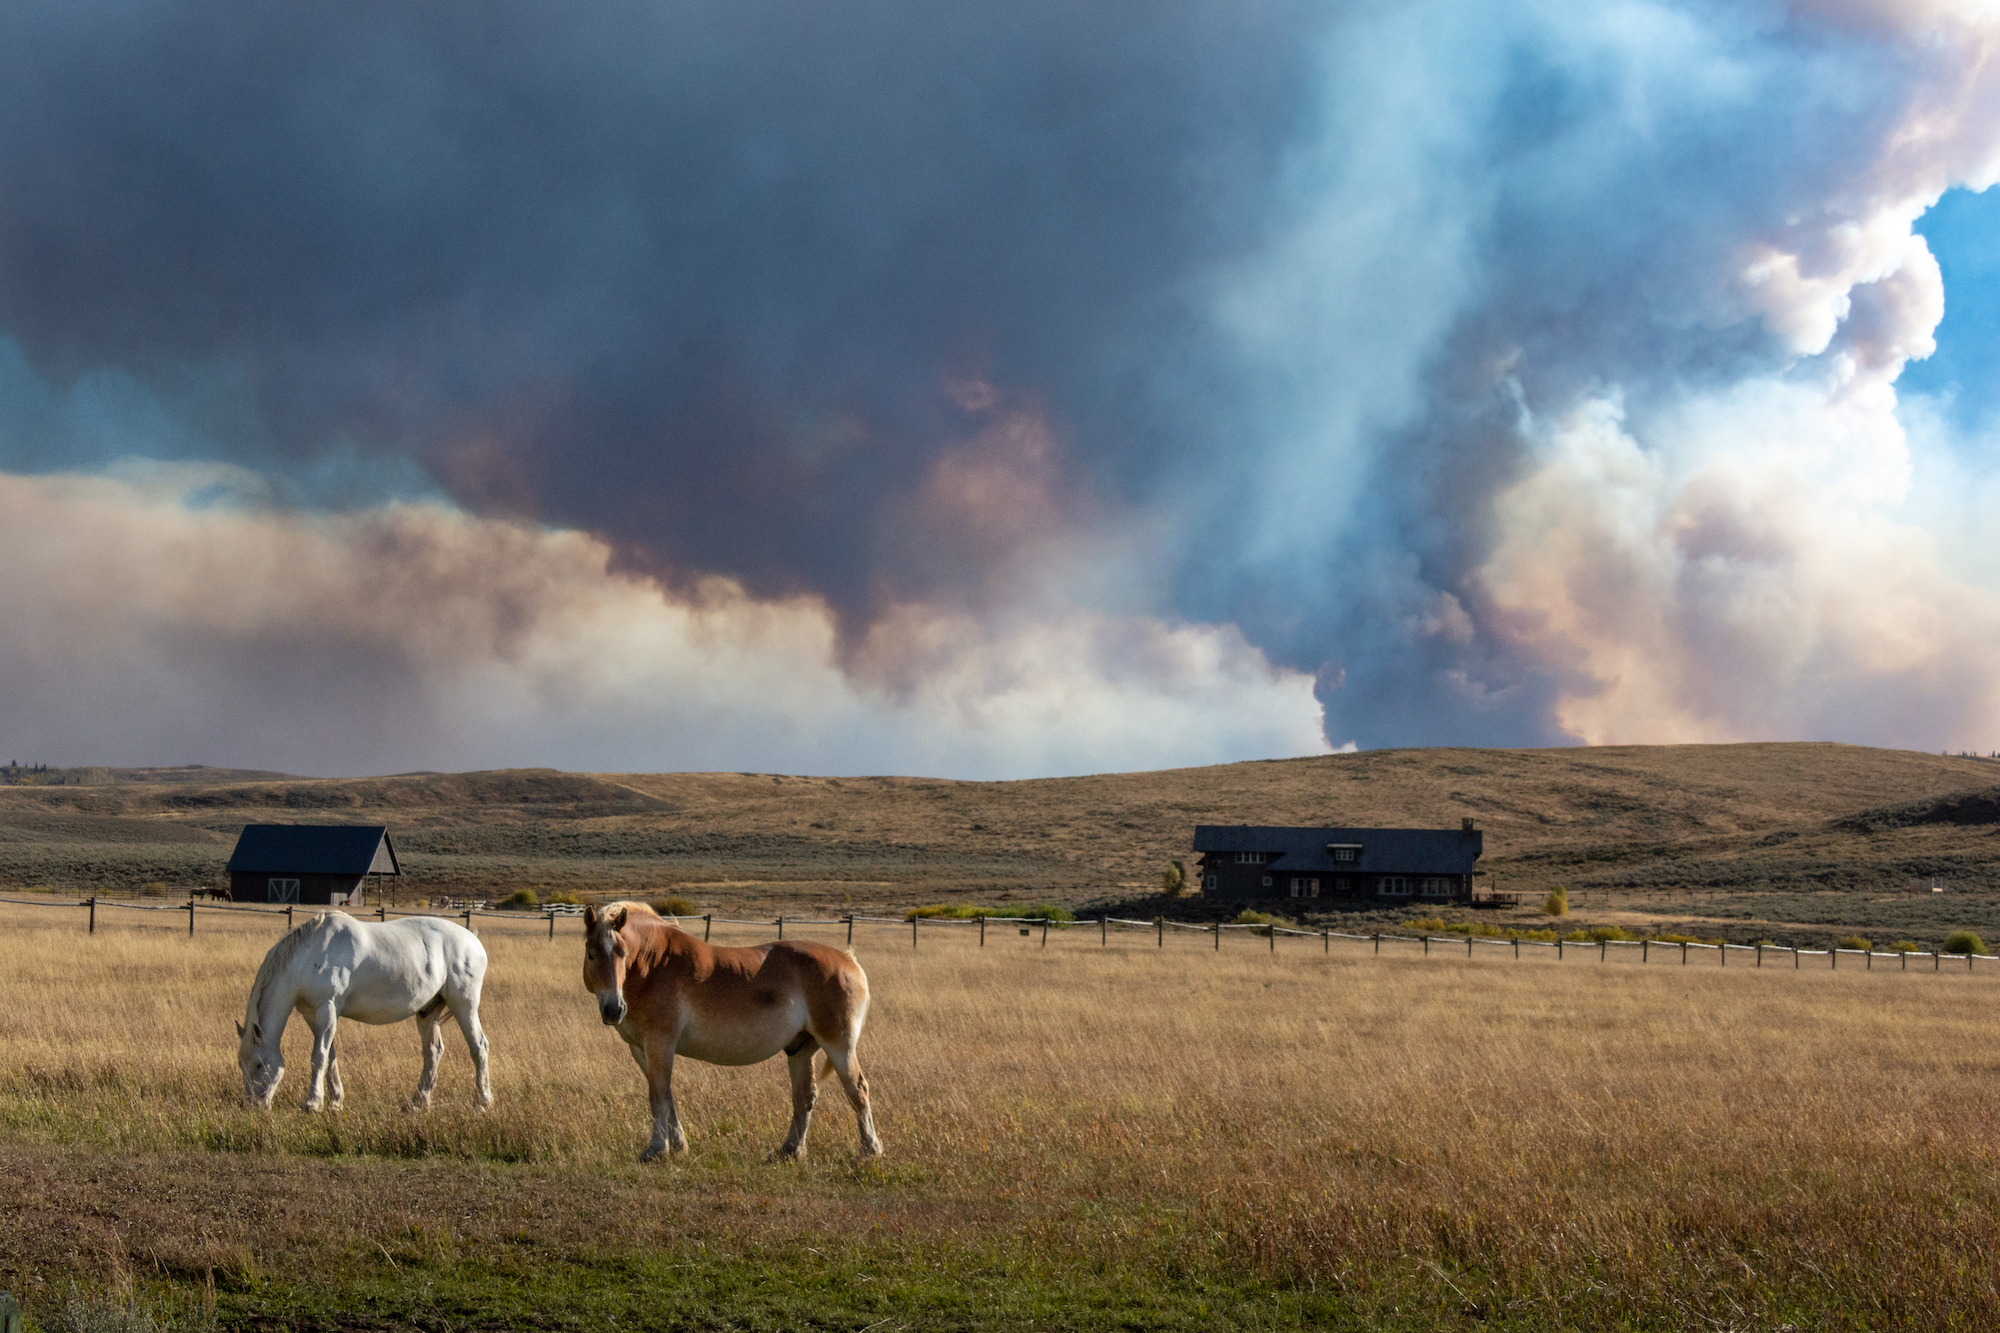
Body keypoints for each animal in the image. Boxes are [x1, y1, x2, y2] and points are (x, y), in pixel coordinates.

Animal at [236, 912, 493, 1112]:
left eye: (258, 1064)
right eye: (241, 1065)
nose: (253, 1105)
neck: (311, 956)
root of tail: (473, 940)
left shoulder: (328, 1007)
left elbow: (319, 1056)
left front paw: (312, 1103)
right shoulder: (312, 1014)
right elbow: (330, 1057)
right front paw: (335, 1102)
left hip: (465, 1005)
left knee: (479, 1047)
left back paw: (482, 1102)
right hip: (427, 1012)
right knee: (433, 1052)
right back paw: (417, 1102)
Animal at [582, 901, 881, 1162]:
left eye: (622, 954)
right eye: (591, 954)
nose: (614, 1009)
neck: (654, 965)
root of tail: (851, 962)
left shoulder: (660, 1044)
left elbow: (657, 1096)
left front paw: (656, 1150)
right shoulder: (641, 1049)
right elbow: (666, 1096)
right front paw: (679, 1145)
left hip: (839, 1047)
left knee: (858, 1090)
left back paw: (870, 1150)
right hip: (800, 1050)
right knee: (805, 1096)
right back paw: (789, 1151)